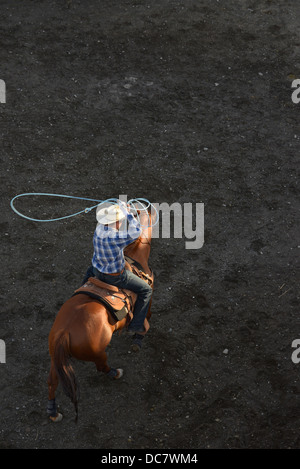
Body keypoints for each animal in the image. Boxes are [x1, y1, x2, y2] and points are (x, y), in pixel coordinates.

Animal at [47, 208, 155, 420]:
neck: (135, 255)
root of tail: (64, 332)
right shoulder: (148, 295)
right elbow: (145, 317)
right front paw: (138, 338)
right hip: (97, 353)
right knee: (101, 367)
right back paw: (116, 373)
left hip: (56, 359)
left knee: (52, 382)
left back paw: (53, 412)